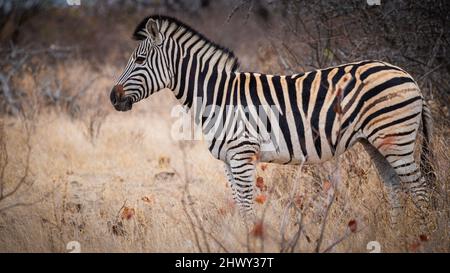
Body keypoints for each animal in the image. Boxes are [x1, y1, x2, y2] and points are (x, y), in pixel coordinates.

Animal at [110, 15, 434, 227]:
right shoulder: (228, 160)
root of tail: (407, 75)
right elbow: (240, 208)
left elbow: (248, 208)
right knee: (394, 188)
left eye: (140, 61)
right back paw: (396, 234)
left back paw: (424, 236)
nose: (113, 97)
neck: (217, 95)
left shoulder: (242, 155)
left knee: (420, 190)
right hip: (376, 142)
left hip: (396, 138)